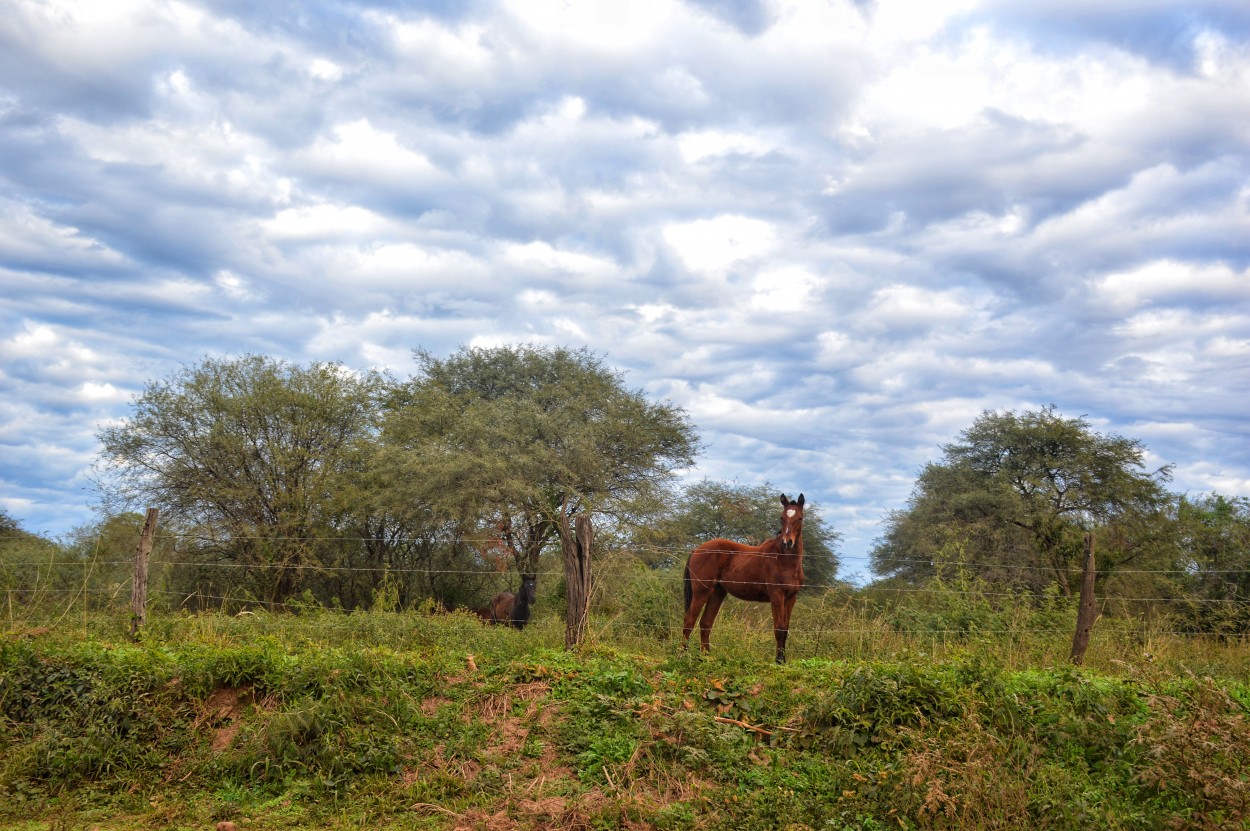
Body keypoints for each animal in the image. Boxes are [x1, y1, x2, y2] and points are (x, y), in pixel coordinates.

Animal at [680, 492, 805, 659]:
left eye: (800, 518)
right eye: (781, 518)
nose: (787, 542)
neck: (784, 559)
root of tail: (696, 549)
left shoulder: (791, 598)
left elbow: (785, 629)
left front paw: (783, 660)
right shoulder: (776, 595)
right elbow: (778, 629)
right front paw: (778, 660)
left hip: (718, 592)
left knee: (705, 623)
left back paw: (706, 658)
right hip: (702, 591)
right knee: (689, 621)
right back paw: (682, 656)